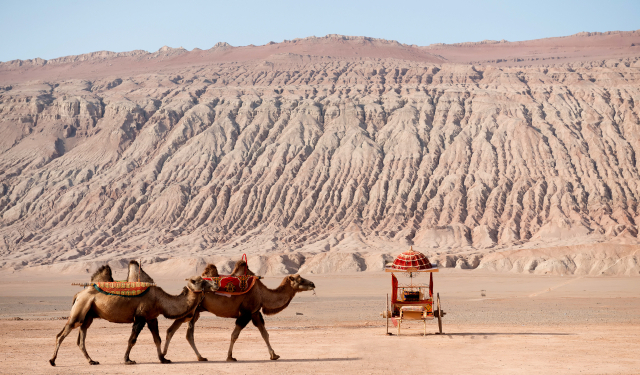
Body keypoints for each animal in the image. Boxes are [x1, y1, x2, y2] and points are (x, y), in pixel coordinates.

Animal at [48, 276, 218, 368]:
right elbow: (132, 339)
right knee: (62, 334)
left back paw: (92, 361)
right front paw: (127, 360)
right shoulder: (140, 317)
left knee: (81, 337)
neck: (161, 300)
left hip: (89, 315)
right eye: (200, 281)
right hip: (80, 310)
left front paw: (163, 359)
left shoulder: (151, 318)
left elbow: (157, 339)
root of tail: (78, 294)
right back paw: (52, 361)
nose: (216, 284)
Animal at [164, 262, 316, 362]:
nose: (312, 284)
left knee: (175, 331)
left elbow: (265, 333)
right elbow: (234, 335)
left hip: (194, 311)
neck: (262, 293)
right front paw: (230, 357)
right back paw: (195, 357)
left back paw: (173, 356)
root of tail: (187, 287)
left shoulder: (255, 312)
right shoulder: (246, 313)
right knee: (186, 333)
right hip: (193, 310)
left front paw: (274, 355)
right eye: (300, 279)